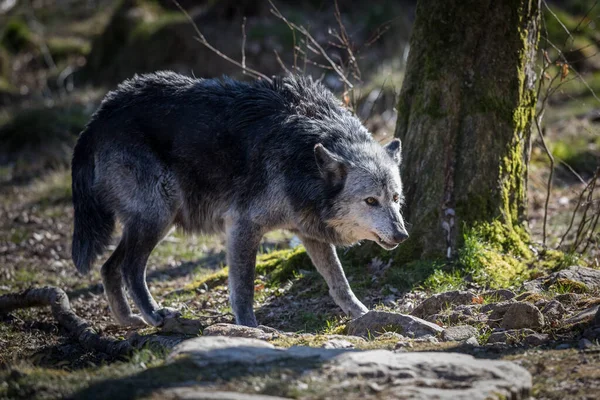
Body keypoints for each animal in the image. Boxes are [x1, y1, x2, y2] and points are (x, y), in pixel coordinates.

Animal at [70, 72, 408, 328]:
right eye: (370, 201)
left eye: (395, 198)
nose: (403, 235)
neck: (302, 155)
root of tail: (99, 116)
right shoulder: (243, 226)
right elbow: (243, 288)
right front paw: (250, 328)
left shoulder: (309, 233)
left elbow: (339, 281)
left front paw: (362, 314)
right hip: (159, 216)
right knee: (130, 268)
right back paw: (154, 315)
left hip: (151, 221)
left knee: (108, 267)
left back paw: (128, 320)